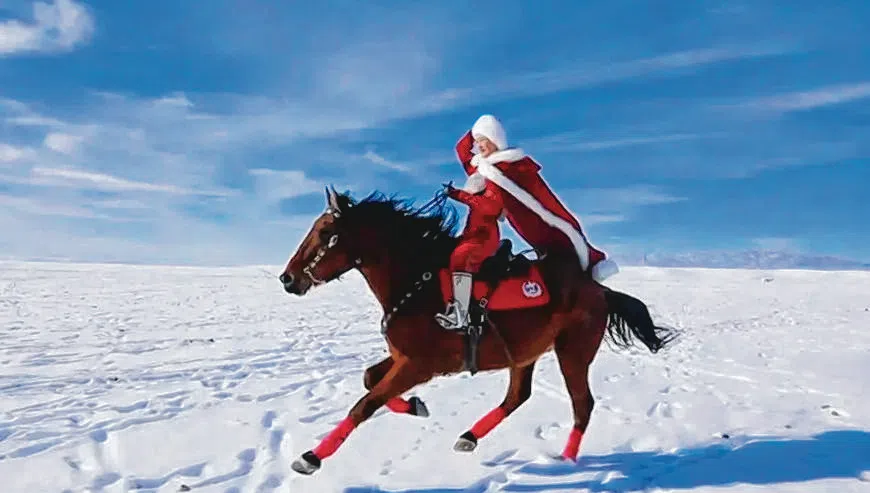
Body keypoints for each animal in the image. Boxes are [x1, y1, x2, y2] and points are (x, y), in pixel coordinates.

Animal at [279, 186, 677, 476]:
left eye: (326, 232)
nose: (288, 278)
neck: (416, 284)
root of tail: (600, 290)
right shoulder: (402, 357)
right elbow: (368, 380)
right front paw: (416, 406)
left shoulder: (420, 365)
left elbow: (365, 404)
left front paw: (311, 458)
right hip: (525, 353)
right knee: (518, 397)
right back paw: (468, 437)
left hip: (573, 352)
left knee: (583, 404)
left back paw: (566, 460)